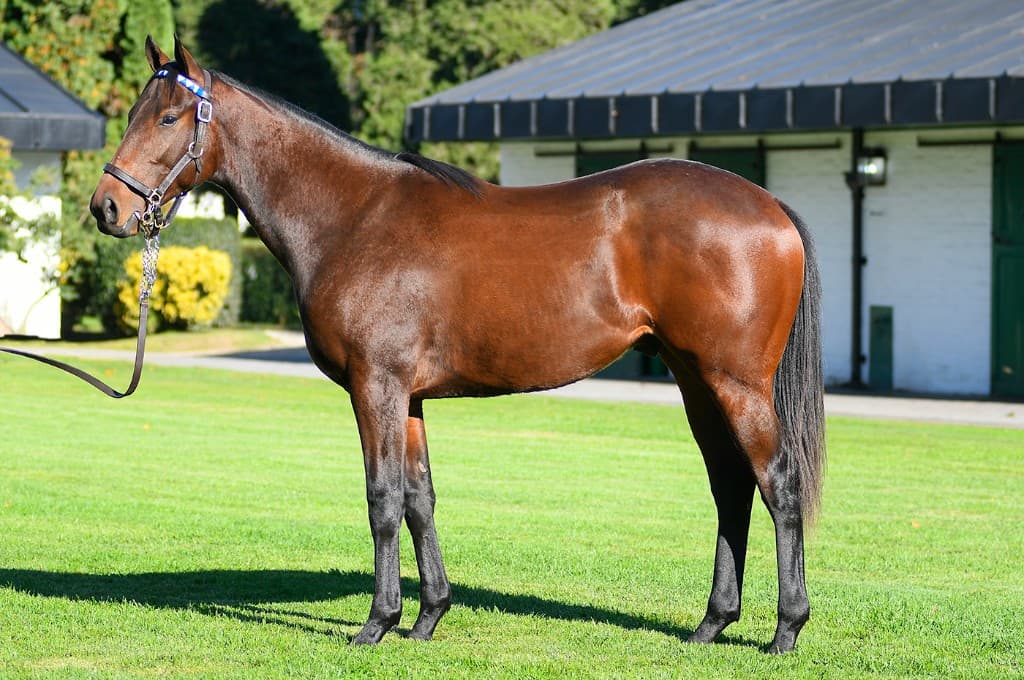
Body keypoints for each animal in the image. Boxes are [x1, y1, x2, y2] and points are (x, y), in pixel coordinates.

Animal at [90, 37, 825, 653]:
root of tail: (771, 207)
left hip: (734, 383)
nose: (105, 208)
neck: (354, 217)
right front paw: (427, 617)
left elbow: (382, 499)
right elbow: (420, 499)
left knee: (777, 482)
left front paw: (376, 624)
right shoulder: (408, 397)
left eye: (168, 118)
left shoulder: (376, 387)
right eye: (133, 111)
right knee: (730, 486)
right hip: (695, 379)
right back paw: (711, 623)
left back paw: (786, 630)